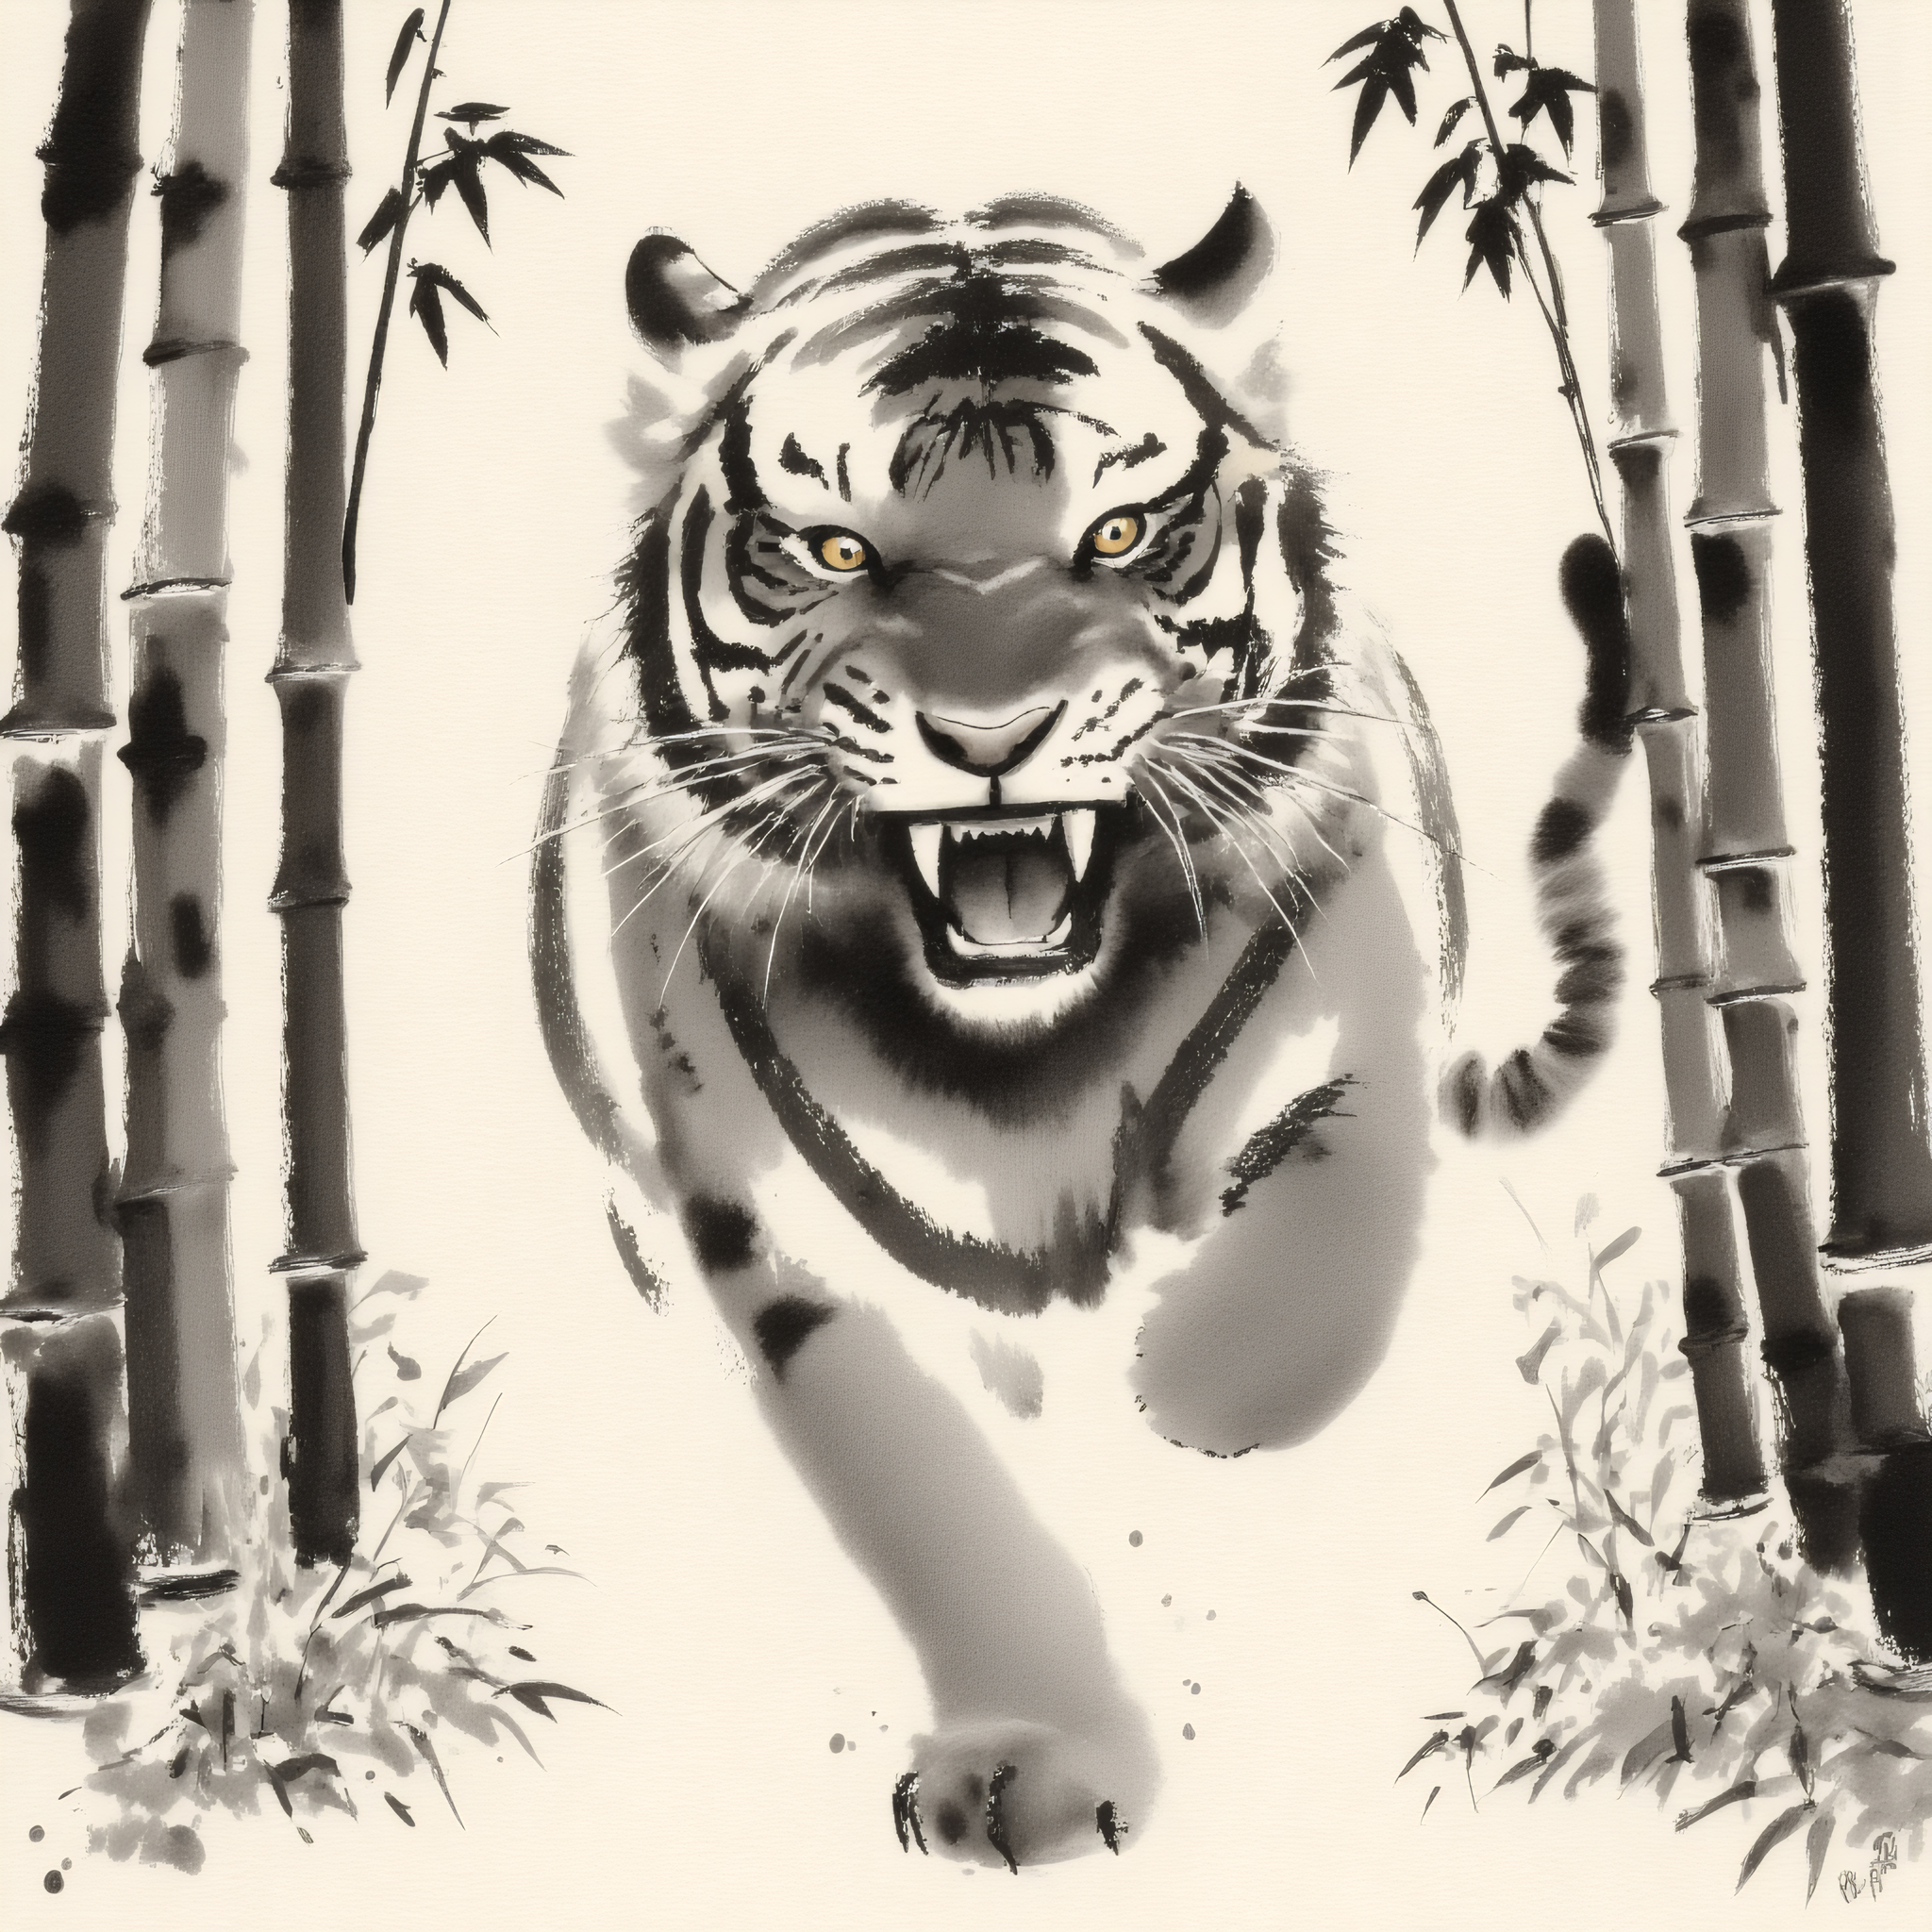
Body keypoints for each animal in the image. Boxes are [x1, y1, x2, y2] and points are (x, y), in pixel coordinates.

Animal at [531, 189, 1632, 1870]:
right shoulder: (771, 1229)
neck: (1010, 1055)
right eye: (838, 548)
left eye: (1115, 534)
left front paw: (1190, 1379)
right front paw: (1027, 1764)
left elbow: (1321, 1255)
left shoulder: (1351, 1006)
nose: (990, 739)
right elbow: (931, 1487)